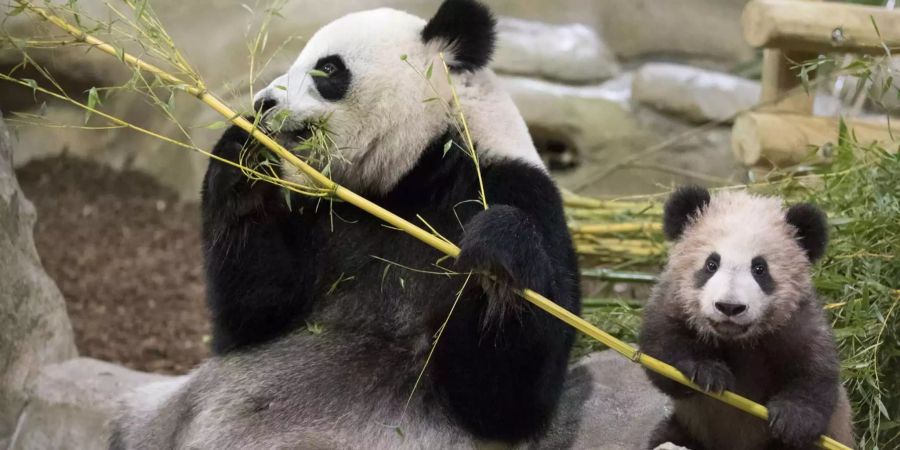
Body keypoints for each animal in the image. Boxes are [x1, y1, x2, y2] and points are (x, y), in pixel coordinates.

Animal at [112, 1, 580, 448]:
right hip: (154, 417)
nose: (263, 103)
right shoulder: (317, 211)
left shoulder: (512, 188)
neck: (407, 181)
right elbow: (251, 317)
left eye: (328, 68)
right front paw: (245, 154)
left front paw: (496, 257)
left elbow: (505, 398)